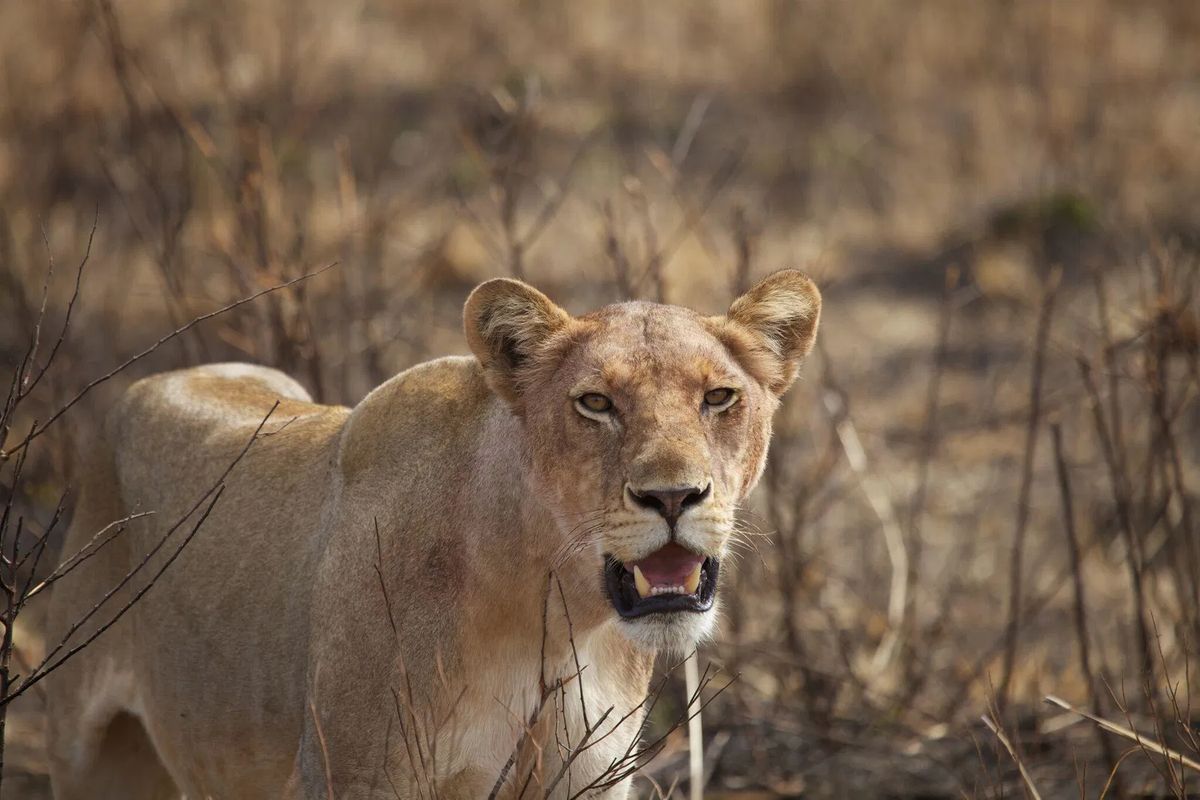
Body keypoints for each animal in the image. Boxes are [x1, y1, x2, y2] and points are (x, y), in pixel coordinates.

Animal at [44, 269, 820, 799]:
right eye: (596, 403)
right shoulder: (353, 775)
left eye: (719, 397)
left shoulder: (586, 778)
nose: (673, 496)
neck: (551, 605)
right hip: (90, 752)